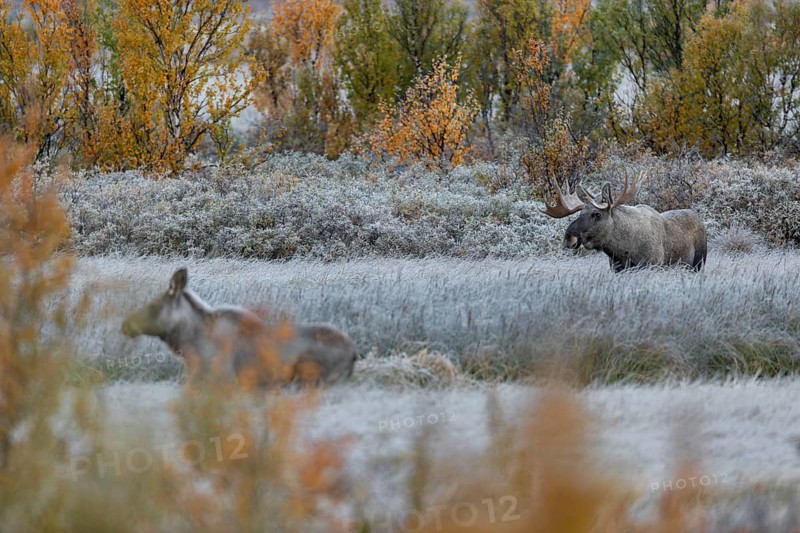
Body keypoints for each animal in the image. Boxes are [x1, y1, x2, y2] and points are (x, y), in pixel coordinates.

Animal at [540, 172, 707, 272]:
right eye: (580, 213)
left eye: (597, 214)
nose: (569, 237)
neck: (622, 250)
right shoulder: (617, 269)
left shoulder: (654, 265)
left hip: (698, 264)